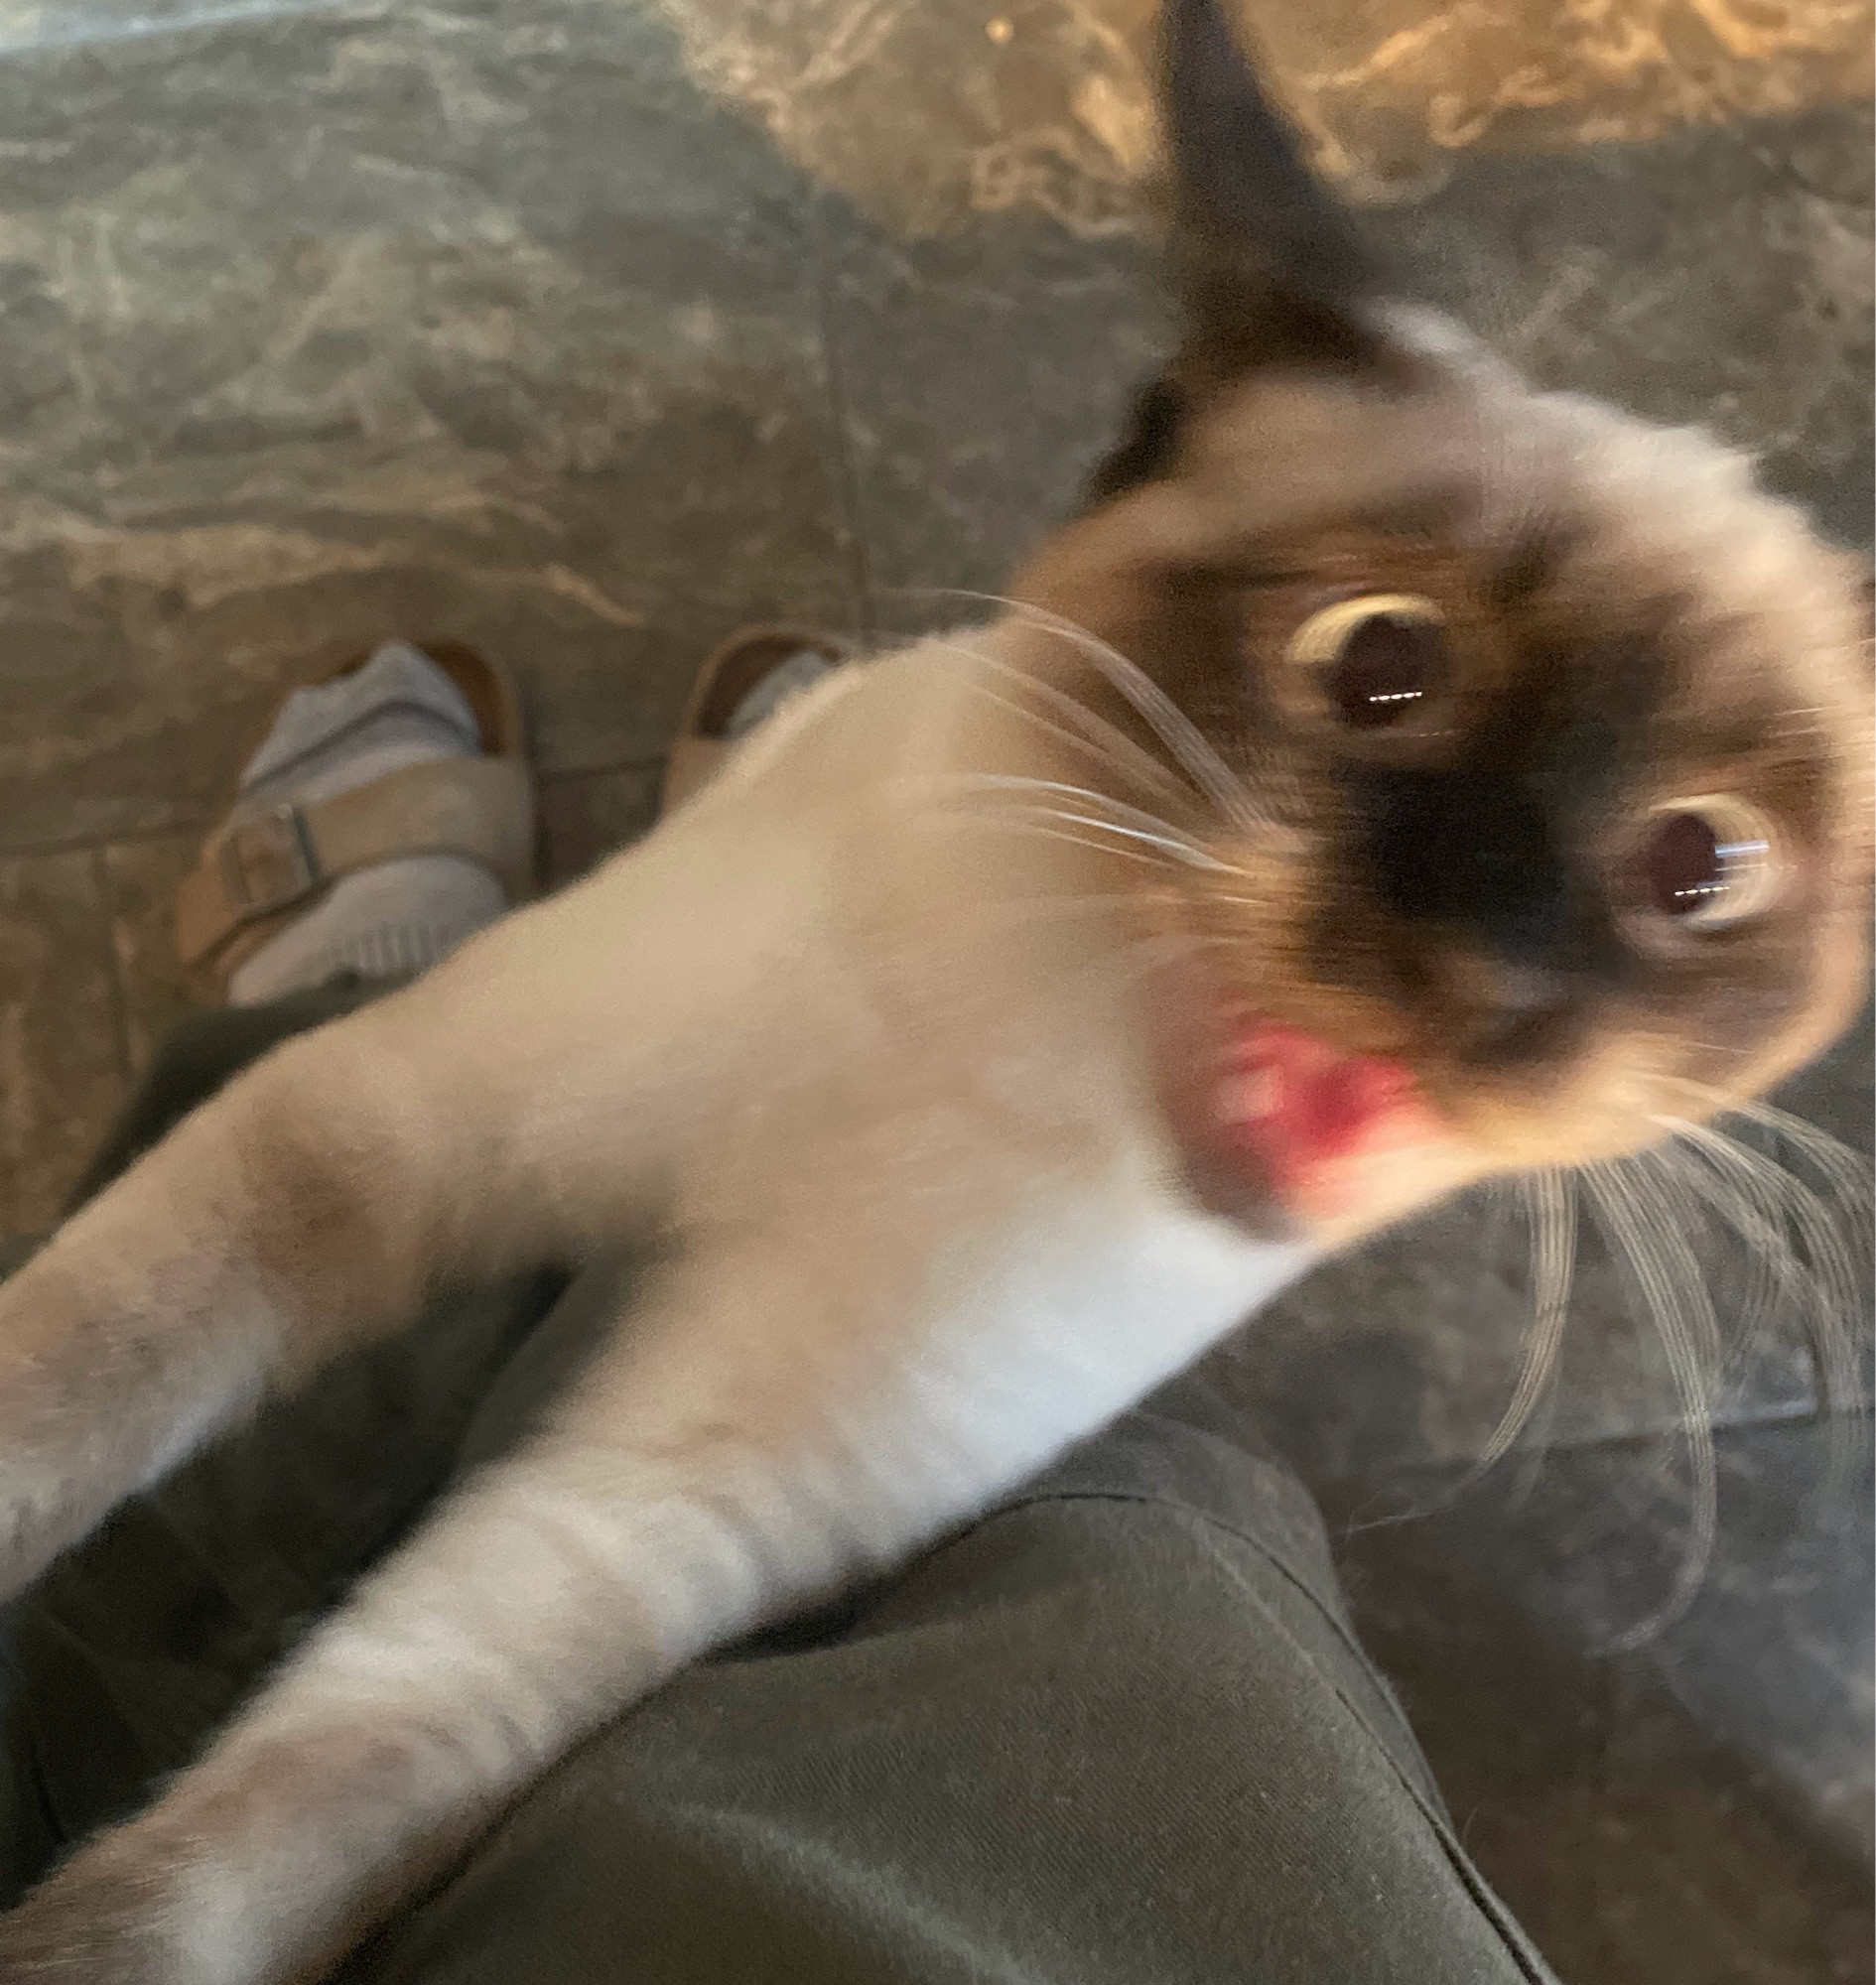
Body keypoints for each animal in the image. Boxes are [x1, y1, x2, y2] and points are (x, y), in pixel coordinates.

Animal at [0, 0, 1866, 1977]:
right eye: (1378, 663)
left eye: (1702, 868)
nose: (1480, 966)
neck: (1010, 1050)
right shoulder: (374, 1147)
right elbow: (66, 1395)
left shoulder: (681, 1494)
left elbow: (272, 1822)